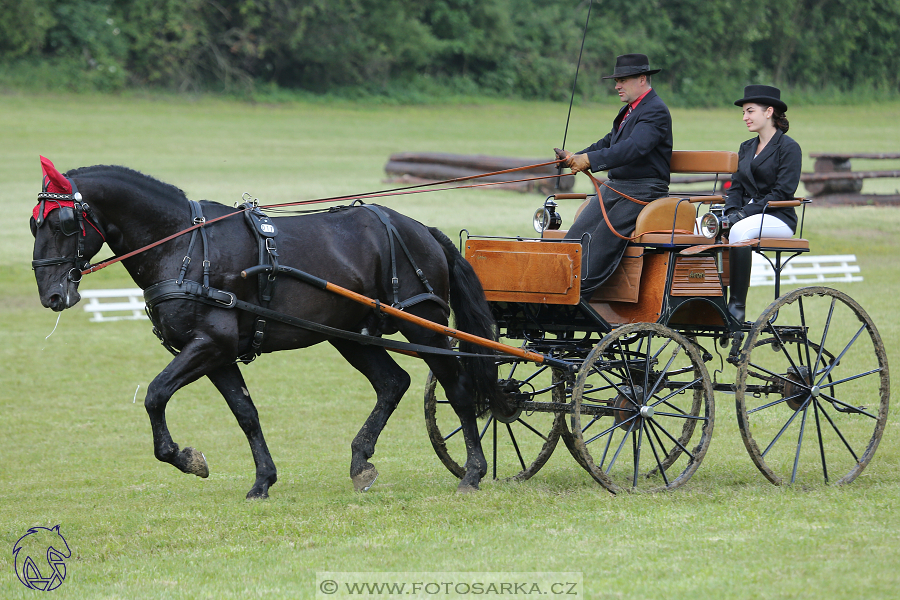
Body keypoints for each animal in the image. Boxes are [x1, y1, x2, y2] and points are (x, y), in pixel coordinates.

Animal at [31, 159, 510, 496]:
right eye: (35, 222)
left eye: (62, 223)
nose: (52, 295)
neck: (183, 245)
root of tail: (421, 229)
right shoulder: (216, 354)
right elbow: (246, 413)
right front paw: (263, 479)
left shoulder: (210, 344)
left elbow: (155, 394)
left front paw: (184, 457)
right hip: (349, 334)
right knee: (393, 382)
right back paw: (360, 463)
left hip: (425, 325)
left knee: (458, 388)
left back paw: (472, 472)